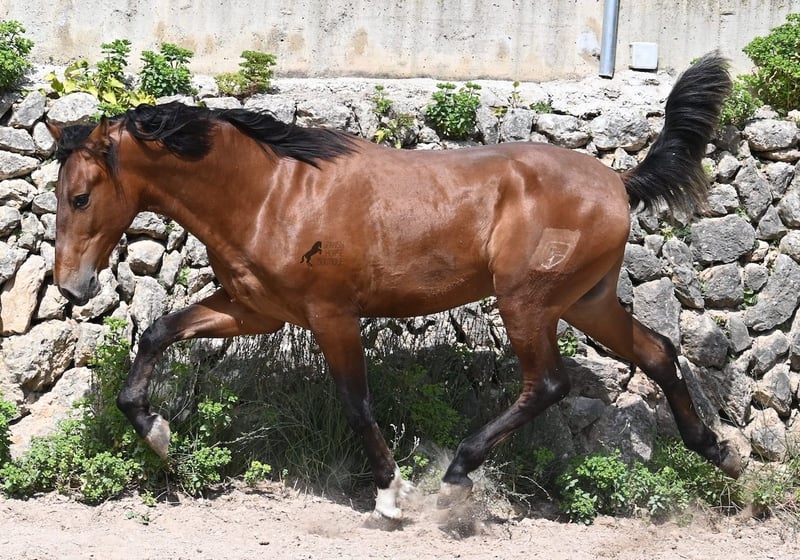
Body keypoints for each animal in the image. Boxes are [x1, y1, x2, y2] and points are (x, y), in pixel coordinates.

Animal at [49, 53, 738, 520]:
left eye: (80, 196)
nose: (71, 289)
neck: (273, 195)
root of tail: (619, 182)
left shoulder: (332, 314)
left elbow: (356, 404)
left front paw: (389, 492)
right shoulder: (254, 310)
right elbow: (158, 332)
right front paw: (157, 433)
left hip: (528, 302)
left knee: (547, 383)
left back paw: (458, 472)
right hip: (587, 303)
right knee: (658, 353)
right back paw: (717, 451)